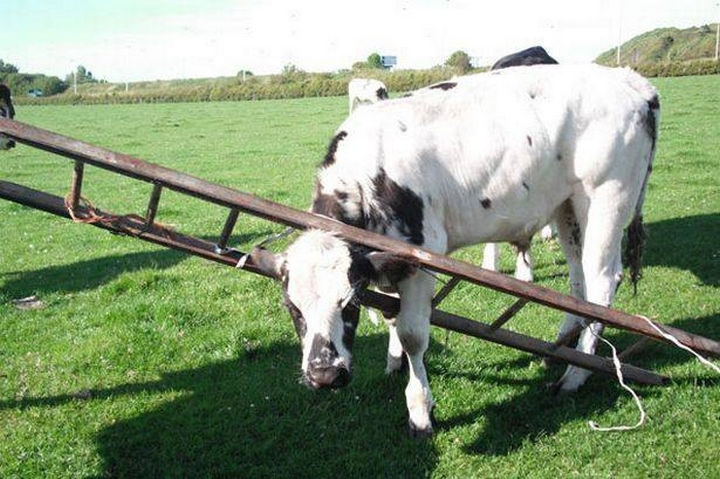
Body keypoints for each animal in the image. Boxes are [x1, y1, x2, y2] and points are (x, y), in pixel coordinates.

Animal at [252, 64, 660, 438]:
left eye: (349, 303)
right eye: (292, 308)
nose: (323, 375)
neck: (369, 174)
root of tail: (632, 81)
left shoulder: (421, 254)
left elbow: (413, 334)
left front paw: (420, 410)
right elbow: (391, 317)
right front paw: (393, 362)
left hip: (606, 198)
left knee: (602, 284)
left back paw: (575, 375)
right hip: (567, 207)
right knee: (579, 282)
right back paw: (562, 344)